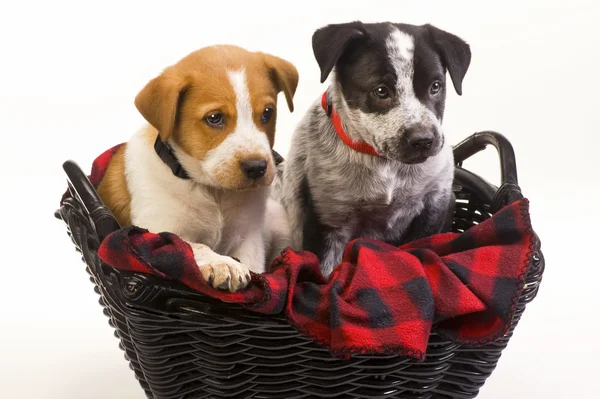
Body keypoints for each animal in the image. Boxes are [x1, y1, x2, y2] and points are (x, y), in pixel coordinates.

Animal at [96, 45, 300, 292]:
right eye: (214, 118)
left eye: (267, 113)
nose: (257, 168)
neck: (214, 192)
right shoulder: (153, 230)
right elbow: (188, 245)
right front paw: (222, 263)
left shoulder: (249, 237)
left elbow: (256, 269)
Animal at [274, 20, 472, 276]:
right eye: (381, 91)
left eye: (436, 86)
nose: (423, 140)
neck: (385, 165)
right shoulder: (327, 221)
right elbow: (326, 275)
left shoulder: (435, 205)